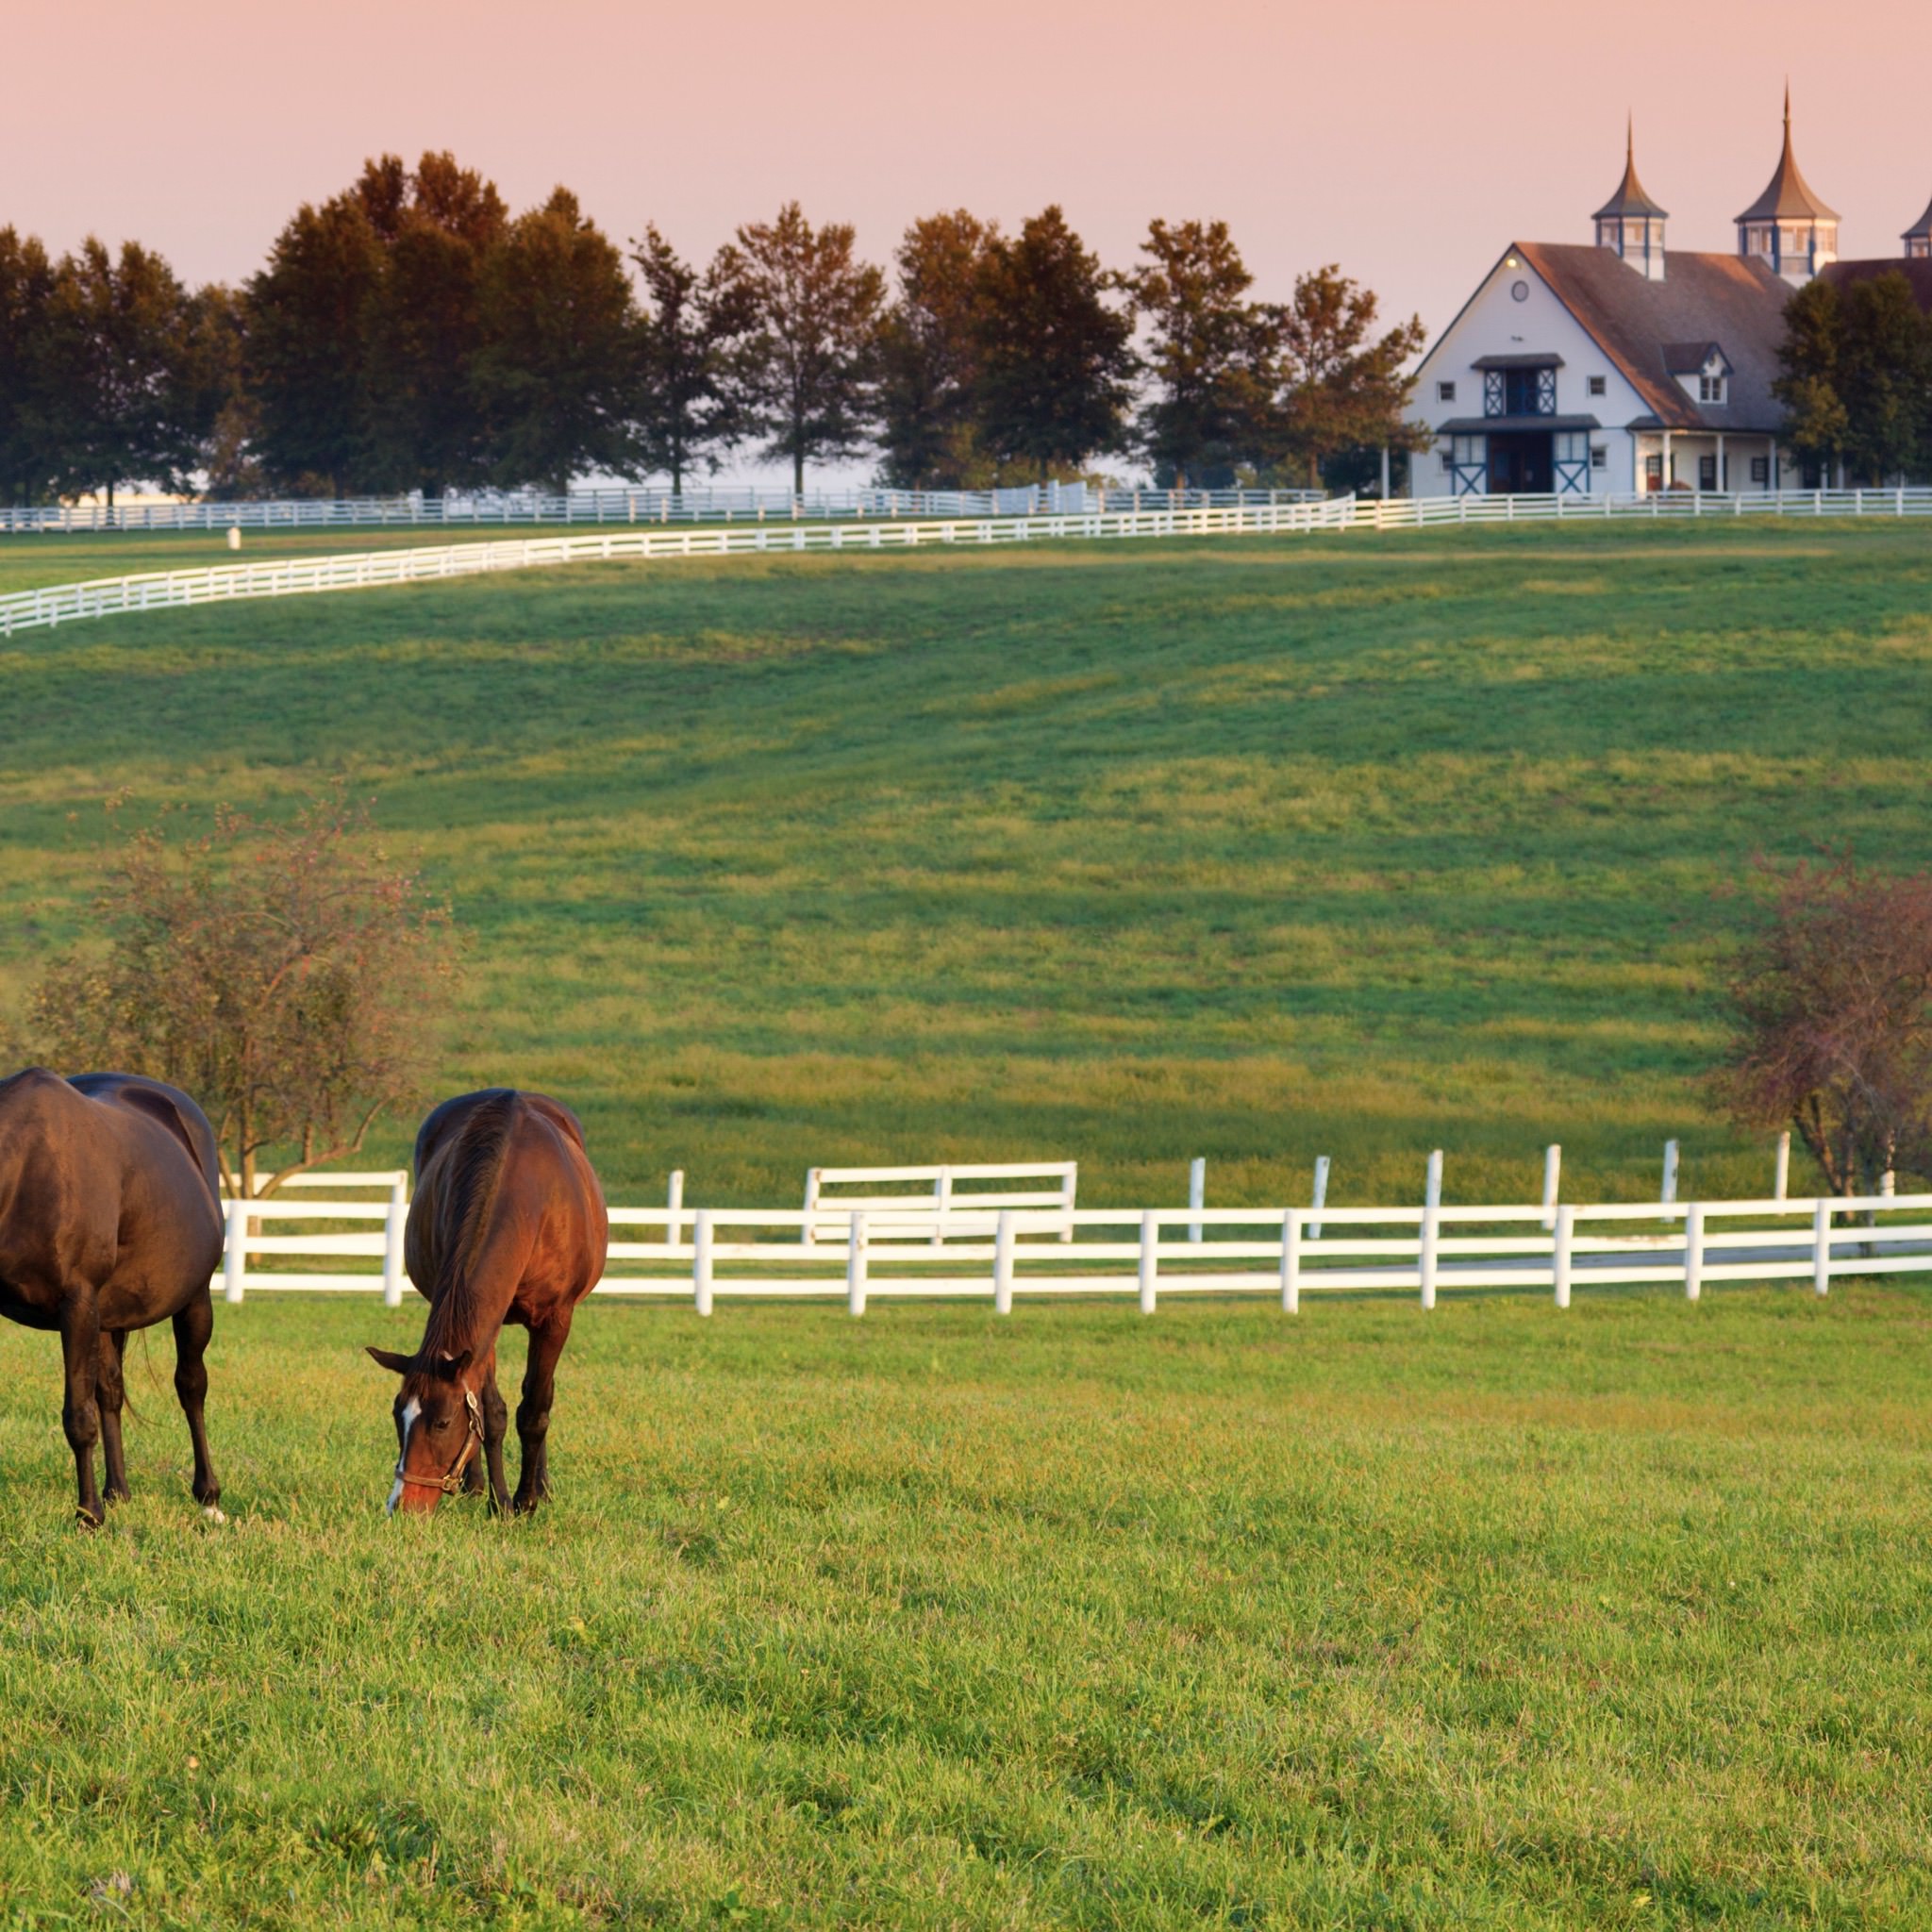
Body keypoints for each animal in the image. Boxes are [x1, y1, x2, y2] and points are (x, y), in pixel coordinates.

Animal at [0, 1074, 225, 1522]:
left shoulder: (76, 1306)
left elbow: (78, 1417)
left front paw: (88, 1515)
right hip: (108, 1318)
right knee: (111, 1393)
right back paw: (117, 1491)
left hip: (194, 1300)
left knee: (191, 1386)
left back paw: (207, 1495)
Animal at [363, 1097, 602, 1514]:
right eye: (396, 1416)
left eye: (442, 1423)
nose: (403, 1505)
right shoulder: (485, 1323)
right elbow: (491, 1412)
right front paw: (499, 1500)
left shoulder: (556, 1318)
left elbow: (535, 1409)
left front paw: (525, 1500)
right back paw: (475, 1486)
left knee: (541, 1394)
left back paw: (541, 1486)